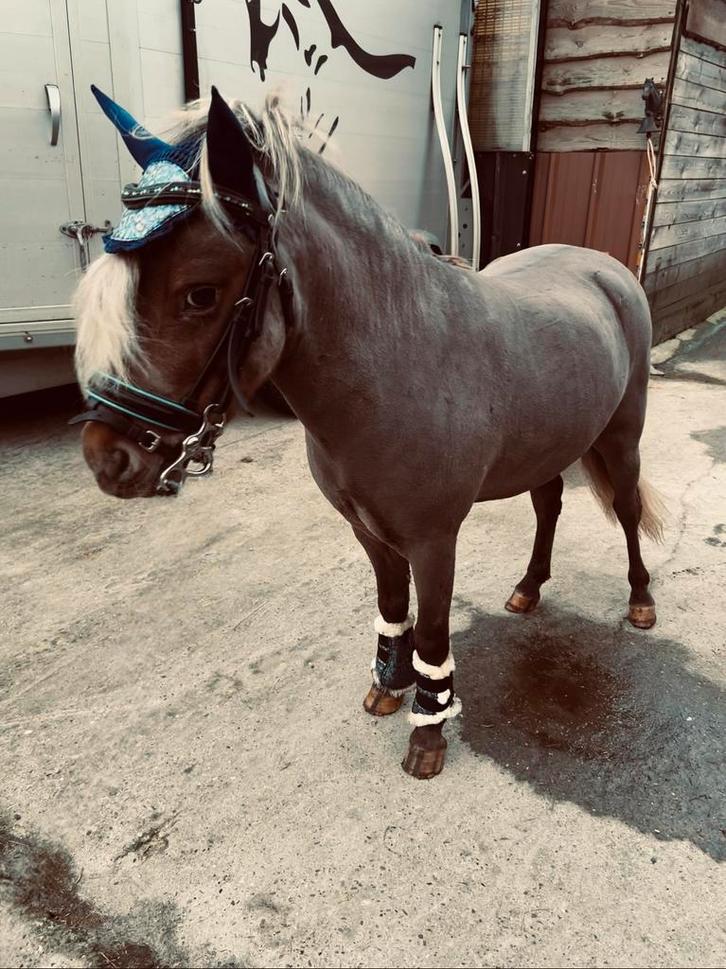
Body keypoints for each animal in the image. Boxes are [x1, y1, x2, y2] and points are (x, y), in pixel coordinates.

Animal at [72, 88, 665, 779]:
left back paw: (641, 600)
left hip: (622, 438)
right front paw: (389, 687)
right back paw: (527, 589)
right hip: (549, 447)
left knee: (627, 509)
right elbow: (391, 609)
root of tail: (604, 267)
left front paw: (428, 734)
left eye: (199, 293)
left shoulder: (434, 541)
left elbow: (432, 630)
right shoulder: (369, 530)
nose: (108, 458)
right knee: (549, 505)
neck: (397, 360)